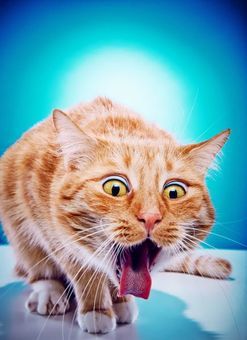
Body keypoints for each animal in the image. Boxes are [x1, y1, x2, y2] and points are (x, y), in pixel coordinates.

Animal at [0, 97, 232, 334]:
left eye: (174, 192)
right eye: (115, 188)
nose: (150, 217)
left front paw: (120, 301)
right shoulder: (56, 233)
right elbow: (83, 269)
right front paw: (96, 308)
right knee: (37, 268)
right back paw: (49, 292)